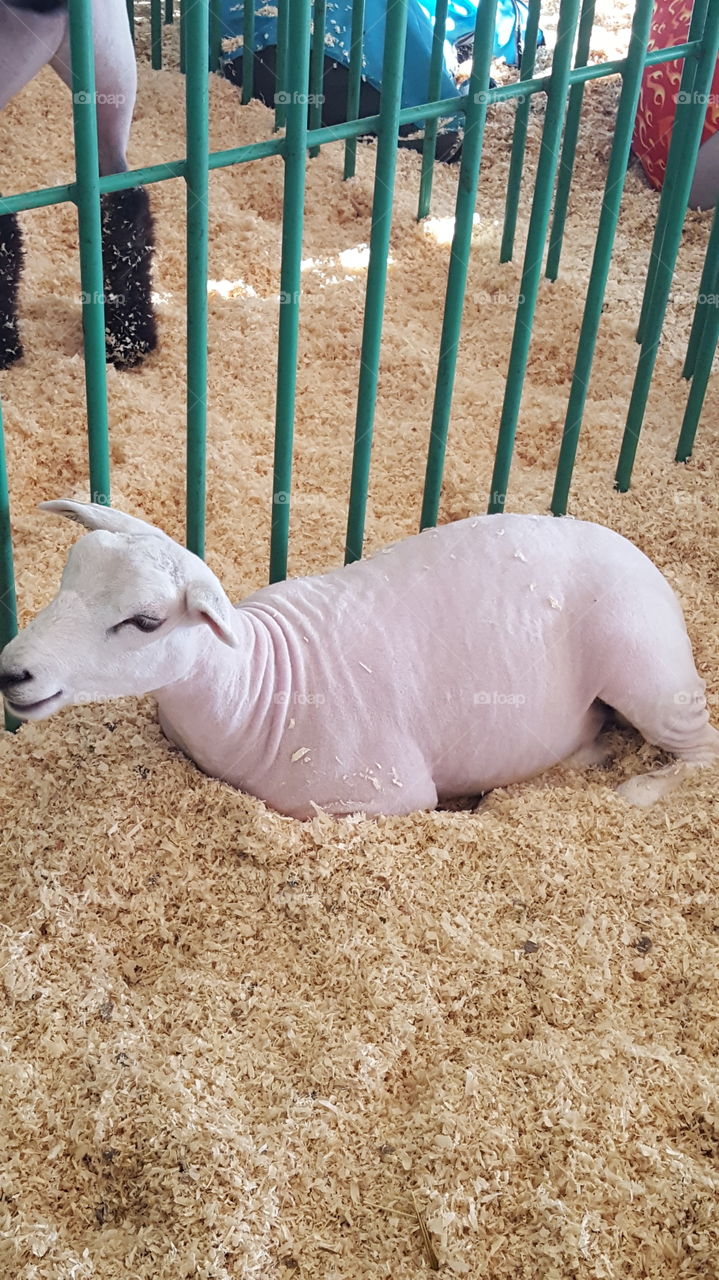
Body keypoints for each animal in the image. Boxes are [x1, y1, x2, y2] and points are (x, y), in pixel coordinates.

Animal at [0, 500, 717, 819]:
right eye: (68, 575)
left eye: (145, 622)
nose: (13, 671)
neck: (258, 688)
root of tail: (635, 550)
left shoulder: (389, 795)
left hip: (648, 670)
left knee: (701, 748)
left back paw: (636, 789)